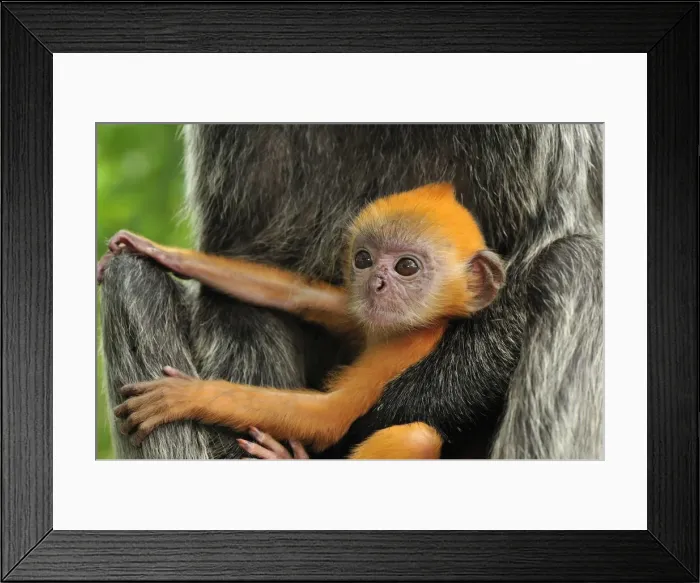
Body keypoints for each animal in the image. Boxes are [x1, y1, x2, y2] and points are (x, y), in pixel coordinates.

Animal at [103, 183, 505, 459]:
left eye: (407, 267)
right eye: (363, 259)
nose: (376, 283)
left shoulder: (407, 347)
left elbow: (330, 415)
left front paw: (185, 395)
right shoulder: (360, 314)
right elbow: (301, 296)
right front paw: (164, 253)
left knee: (415, 436)